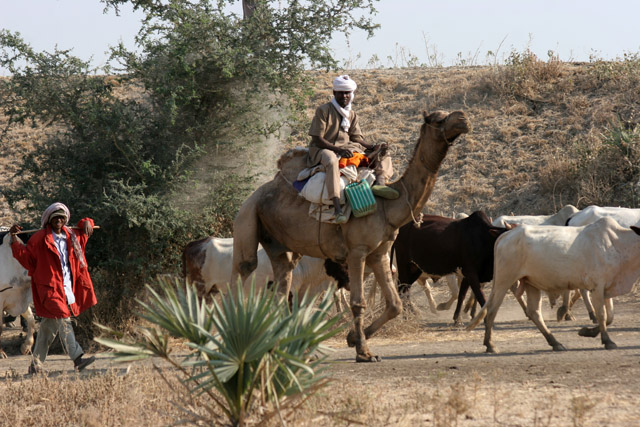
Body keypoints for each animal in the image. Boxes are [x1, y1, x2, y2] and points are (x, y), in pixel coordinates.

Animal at [231, 109, 470, 362]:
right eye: (439, 119)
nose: (463, 118)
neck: (388, 206)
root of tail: (257, 192)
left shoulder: (379, 253)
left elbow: (394, 304)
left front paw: (352, 338)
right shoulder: (357, 252)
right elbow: (358, 302)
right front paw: (364, 352)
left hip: (280, 246)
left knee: (282, 285)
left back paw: (278, 349)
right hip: (247, 216)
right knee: (242, 272)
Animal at [468, 219, 640, 352]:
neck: (617, 242)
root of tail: (506, 234)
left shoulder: (608, 287)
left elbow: (610, 316)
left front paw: (587, 331)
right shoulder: (597, 287)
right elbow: (602, 315)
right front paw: (607, 341)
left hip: (530, 283)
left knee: (534, 312)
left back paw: (555, 342)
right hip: (504, 281)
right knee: (492, 310)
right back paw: (490, 345)